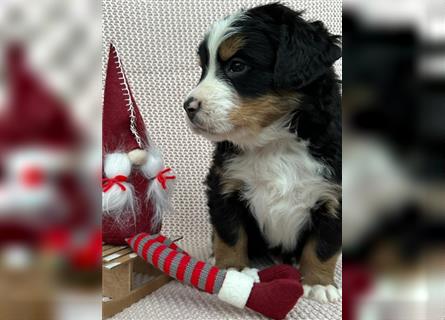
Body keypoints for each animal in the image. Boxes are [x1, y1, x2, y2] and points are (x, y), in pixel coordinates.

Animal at [182, 3, 342, 302]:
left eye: (237, 66)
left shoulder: (335, 197)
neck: (274, 143)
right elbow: (230, 234)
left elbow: (323, 246)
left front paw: (318, 283)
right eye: (203, 69)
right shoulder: (224, 185)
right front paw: (231, 270)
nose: (188, 106)